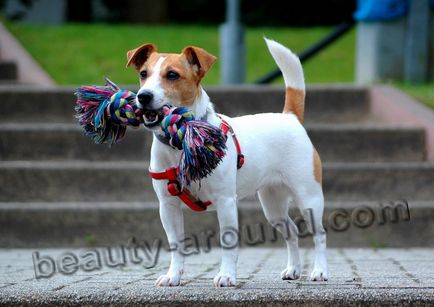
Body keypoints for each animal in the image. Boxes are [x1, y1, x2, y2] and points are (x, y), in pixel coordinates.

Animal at [127, 39, 328, 288]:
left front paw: (227, 276)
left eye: (172, 75)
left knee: (319, 234)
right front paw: (173, 276)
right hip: (273, 204)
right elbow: (176, 244)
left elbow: (228, 242)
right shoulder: (167, 206)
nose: (143, 96)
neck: (183, 139)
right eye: (143, 74)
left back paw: (319, 270)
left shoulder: (225, 202)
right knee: (290, 230)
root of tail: (289, 117)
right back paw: (293, 269)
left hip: (309, 197)